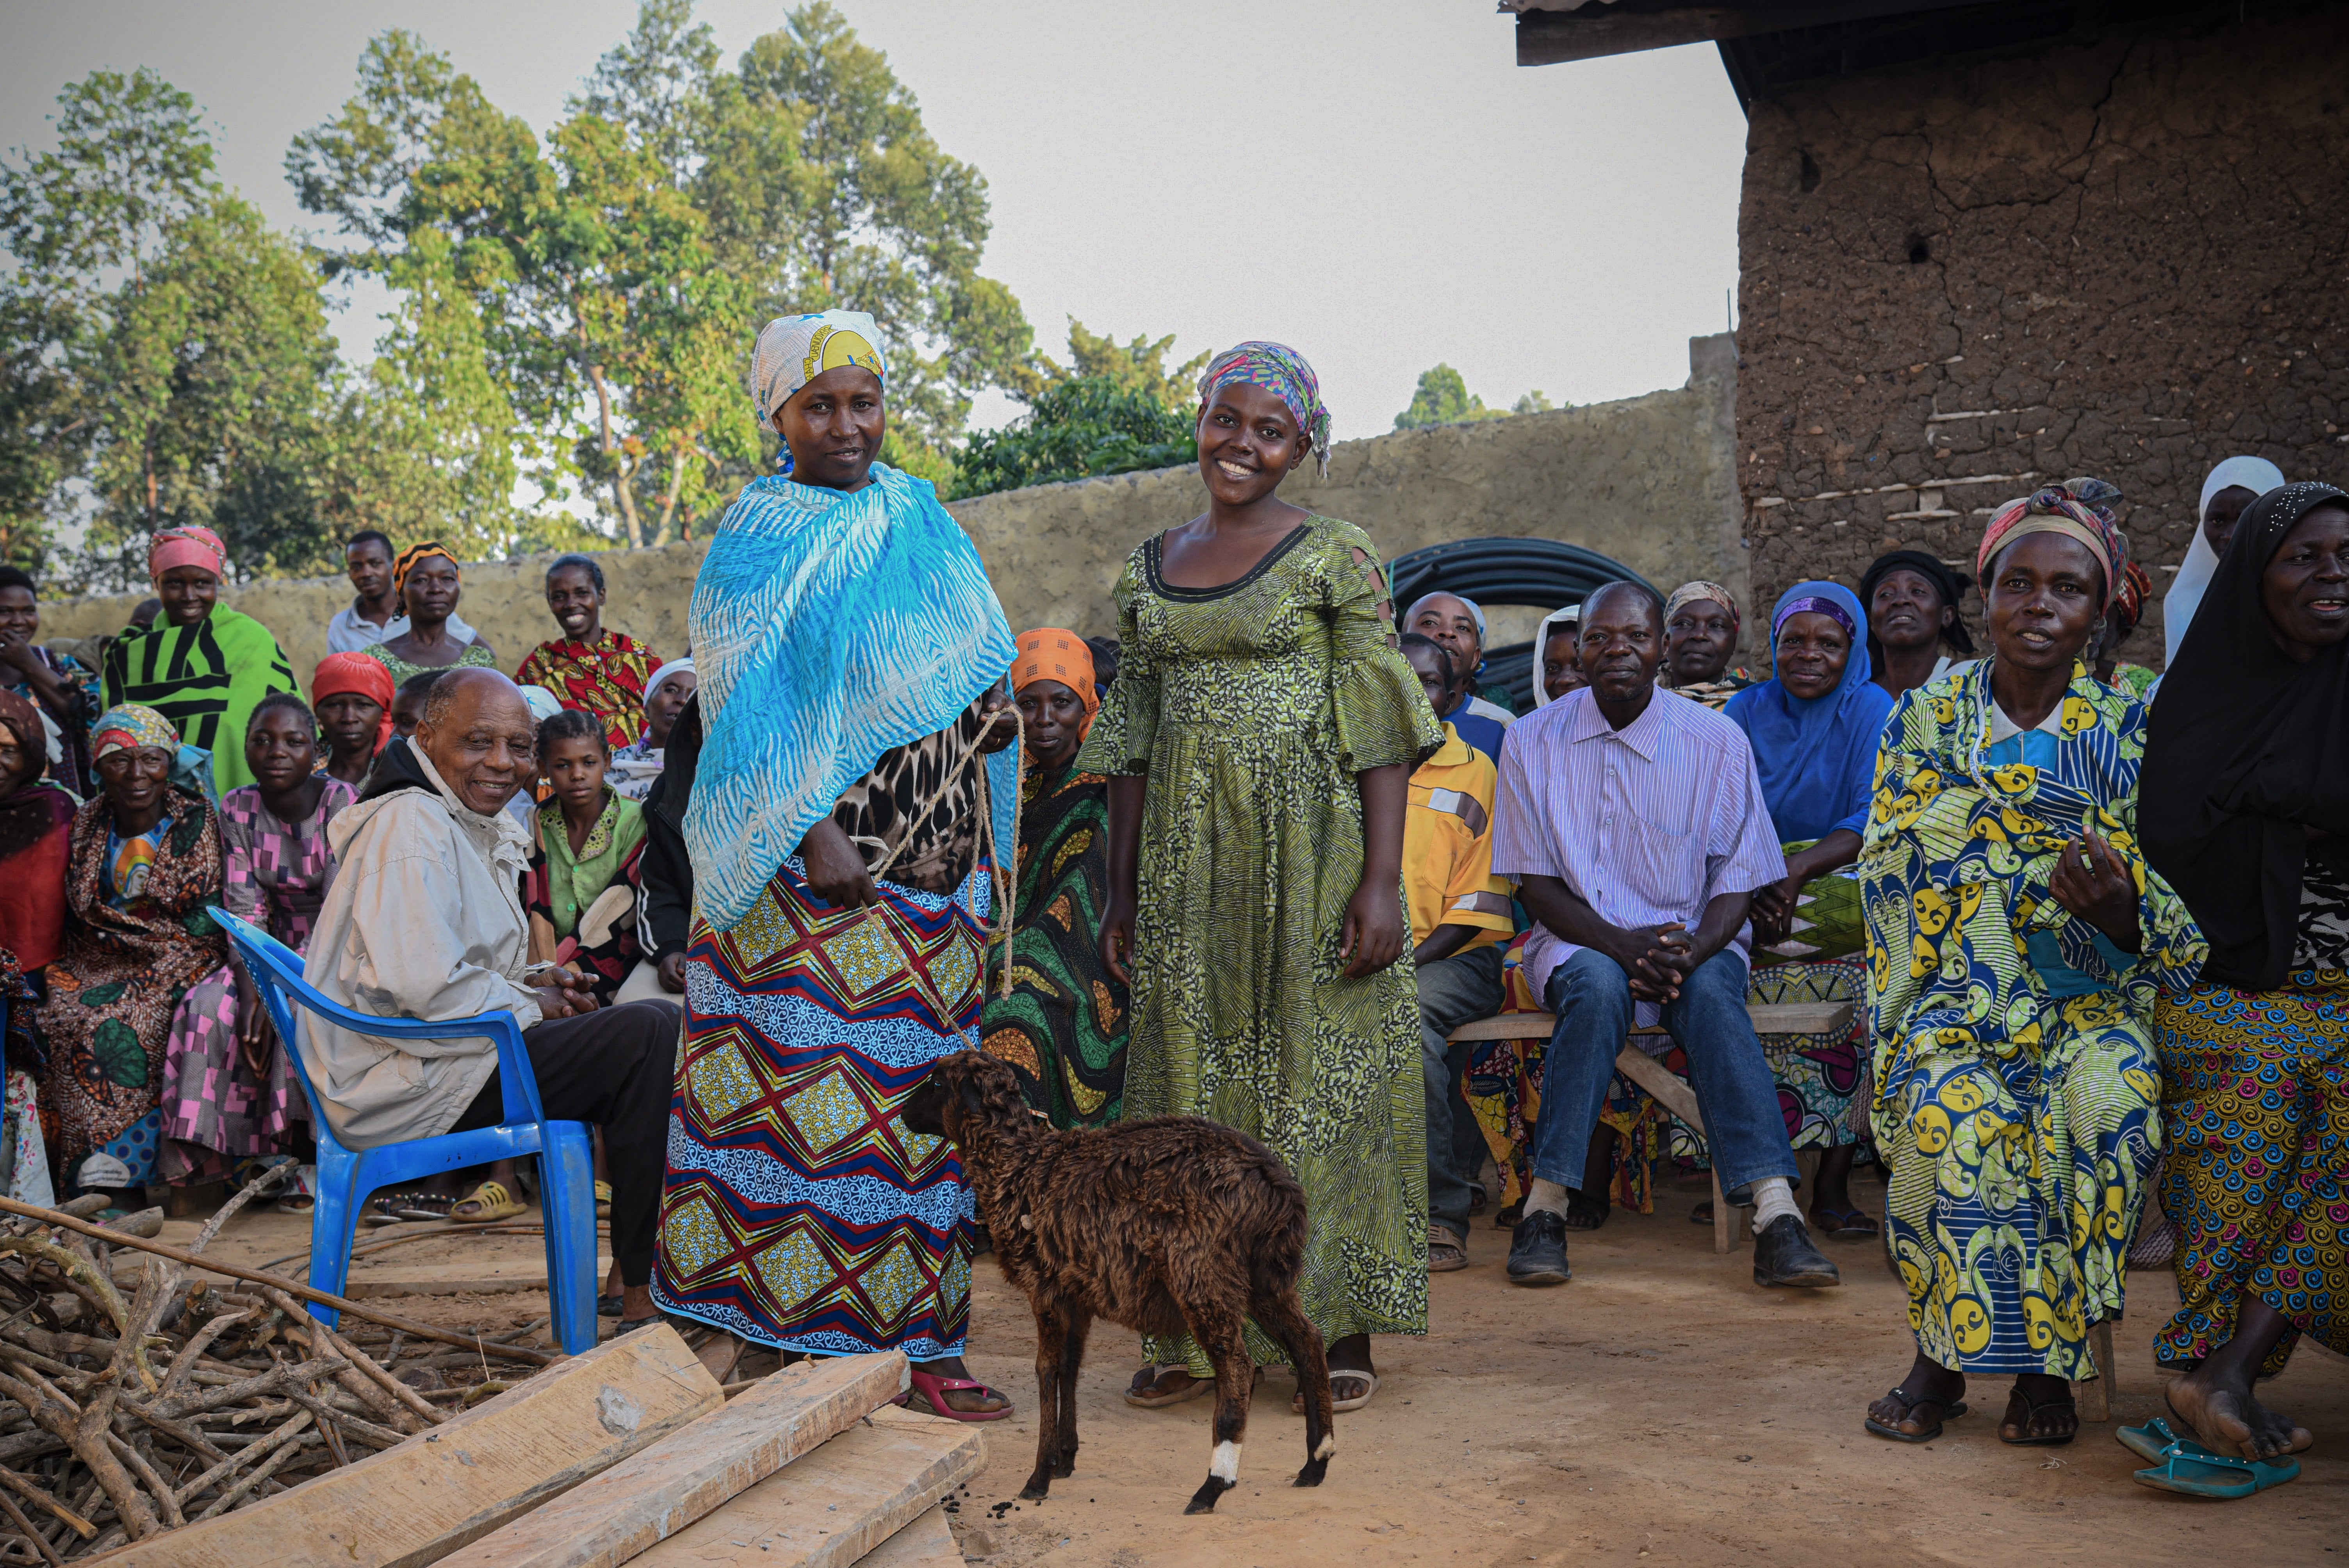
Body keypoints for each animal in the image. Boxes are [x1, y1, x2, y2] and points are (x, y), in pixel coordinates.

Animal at [902, 1047, 1344, 1511]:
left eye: (936, 1082)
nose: (903, 1114)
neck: (1017, 1168)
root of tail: (1275, 1185)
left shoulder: (1045, 1289)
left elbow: (1044, 1370)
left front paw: (1039, 1476)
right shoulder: (1076, 1294)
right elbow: (1069, 1367)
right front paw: (1065, 1458)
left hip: (1202, 1274)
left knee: (1238, 1365)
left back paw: (1214, 1484)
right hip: (1267, 1278)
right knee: (1307, 1341)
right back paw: (1316, 1461)